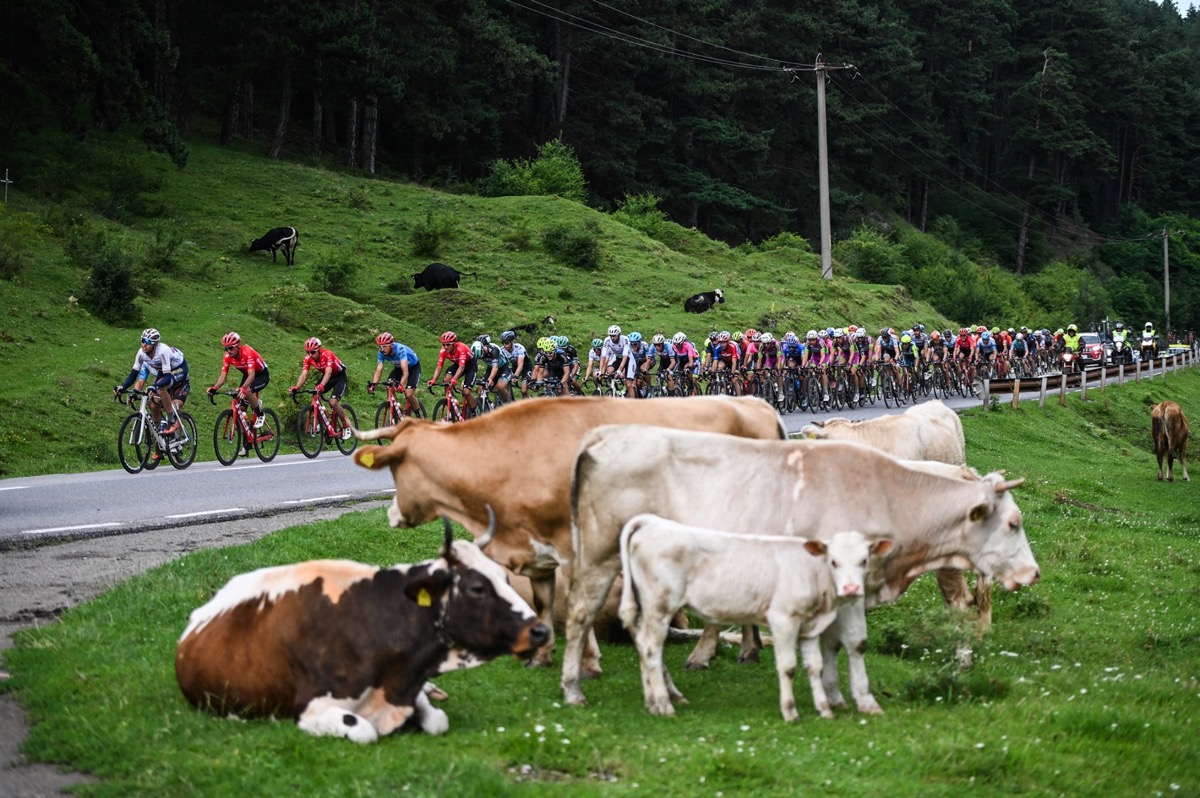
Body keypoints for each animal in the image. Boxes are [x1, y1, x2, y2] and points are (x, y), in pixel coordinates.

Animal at [175, 513, 549, 744]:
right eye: (477, 589)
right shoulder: (311, 710)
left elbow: (437, 721)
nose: (541, 632)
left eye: (505, 578)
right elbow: (364, 730)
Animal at [355, 396, 787, 667]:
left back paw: (704, 654)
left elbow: (580, 602)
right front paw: (542, 656)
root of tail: (756, 403)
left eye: (393, 469)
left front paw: (587, 662)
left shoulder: (573, 543)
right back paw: (748, 650)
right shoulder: (537, 550)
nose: (392, 513)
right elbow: (545, 601)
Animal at [619, 513, 892, 724]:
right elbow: (788, 667)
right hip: (661, 605)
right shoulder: (783, 619)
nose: (851, 589)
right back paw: (664, 705)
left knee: (643, 644)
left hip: (647, 606)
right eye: (833, 562)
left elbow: (815, 666)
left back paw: (652, 702)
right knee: (651, 648)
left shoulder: (810, 626)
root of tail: (651, 521)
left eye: (864, 560)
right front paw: (790, 712)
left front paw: (824, 710)